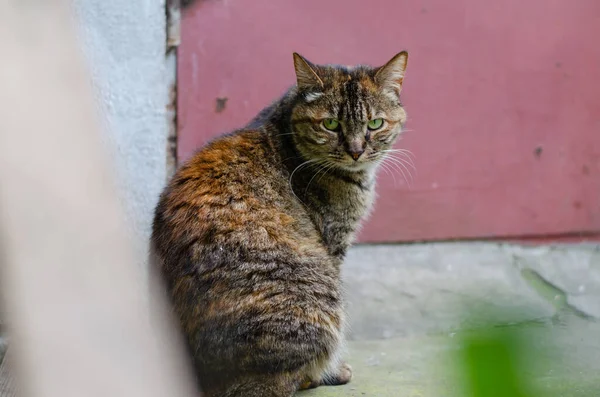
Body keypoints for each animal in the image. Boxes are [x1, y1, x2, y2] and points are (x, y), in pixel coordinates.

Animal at [152, 51, 410, 394]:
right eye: (331, 124)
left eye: (375, 123)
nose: (356, 151)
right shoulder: (334, 242)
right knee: (298, 375)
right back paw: (330, 372)